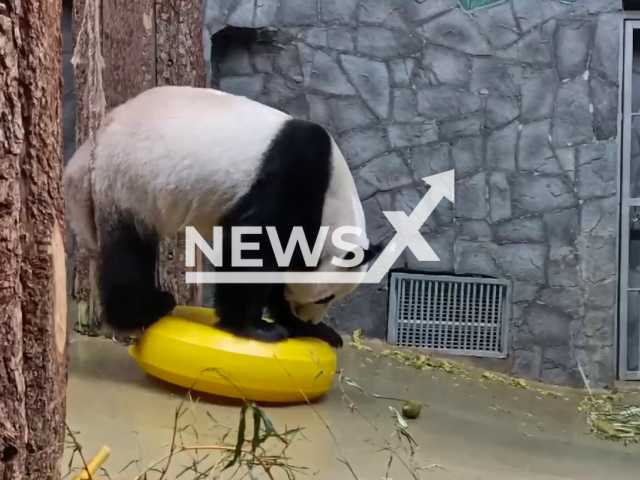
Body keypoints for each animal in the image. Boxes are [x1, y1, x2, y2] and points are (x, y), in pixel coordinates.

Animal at [64, 86, 380, 346]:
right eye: (326, 296)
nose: (310, 317)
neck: (331, 196)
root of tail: (90, 149)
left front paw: (310, 329)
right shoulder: (292, 179)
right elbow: (253, 247)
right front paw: (258, 328)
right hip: (129, 181)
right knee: (129, 251)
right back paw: (148, 308)